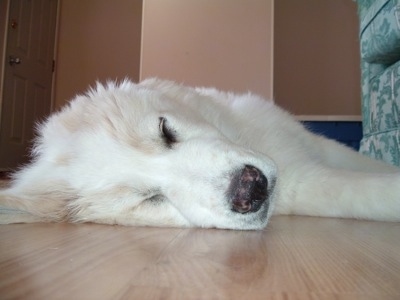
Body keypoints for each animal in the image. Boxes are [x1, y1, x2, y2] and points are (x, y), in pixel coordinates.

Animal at [0, 78, 400, 230]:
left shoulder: (318, 145)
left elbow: (369, 163)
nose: (251, 189)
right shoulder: (308, 181)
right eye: (150, 199)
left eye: (165, 130)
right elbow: (373, 191)